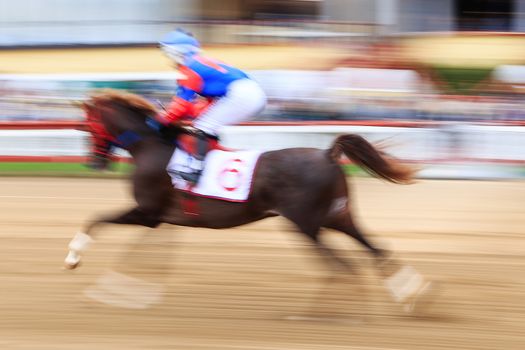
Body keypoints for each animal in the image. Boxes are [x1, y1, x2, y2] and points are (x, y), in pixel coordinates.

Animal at [65, 89, 434, 314]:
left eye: (87, 126)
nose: (94, 163)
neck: (151, 147)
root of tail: (327, 154)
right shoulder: (164, 219)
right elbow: (145, 256)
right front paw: (124, 293)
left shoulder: (148, 212)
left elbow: (96, 219)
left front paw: (73, 258)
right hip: (338, 217)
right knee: (377, 250)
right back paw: (414, 297)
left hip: (306, 224)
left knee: (342, 267)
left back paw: (325, 314)